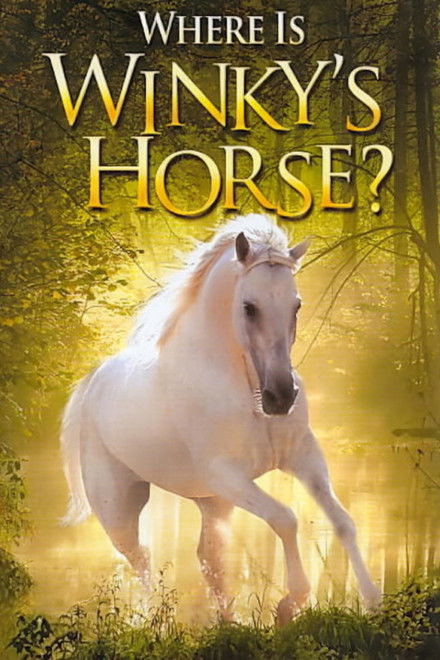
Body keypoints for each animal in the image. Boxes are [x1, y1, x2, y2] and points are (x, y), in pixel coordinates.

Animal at [60, 213, 381, 623]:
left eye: (296, 305)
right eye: (249, 307)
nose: (281, 397)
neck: (247, 391)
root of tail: (93, 380)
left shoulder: (304, 457)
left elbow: (343, 522)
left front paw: (374, 601)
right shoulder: (227, 475)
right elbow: (286, 518)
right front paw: (290, 602)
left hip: (212, 502)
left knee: (207, 555)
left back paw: (229, 622)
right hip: (118, 505)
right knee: (140, 557)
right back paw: (157, 622)